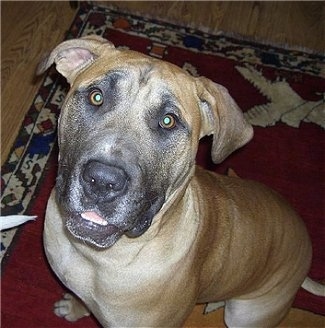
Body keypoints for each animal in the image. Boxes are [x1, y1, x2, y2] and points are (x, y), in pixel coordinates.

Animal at [37, 34, 322, 326]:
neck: (95, 258)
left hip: (243, 314)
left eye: (168, 121)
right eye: (96, 97)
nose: (102, 181)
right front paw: (75, 307)